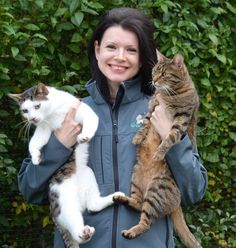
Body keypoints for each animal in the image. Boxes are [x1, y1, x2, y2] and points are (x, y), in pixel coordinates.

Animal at [8, 84, 123, 248]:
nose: (32, 119)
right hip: (65, 203)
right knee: (77, 225)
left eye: (37, 106)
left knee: (92, 205)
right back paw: (84, 233)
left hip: (88, 175)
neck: (52, 114)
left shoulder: (81, 110)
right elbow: (35, 141)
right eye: (25, 110)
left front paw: (84, 136)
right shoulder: (44, 127)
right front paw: (35, 158)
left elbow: (91, 119)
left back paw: (115, 196)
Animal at [114, 50, 201, 248]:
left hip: (156, 190)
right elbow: (145, 123)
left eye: (163, 74)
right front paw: (137, 138)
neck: (170, 95)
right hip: (136, 178)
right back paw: (122, 199)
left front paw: (159, 152)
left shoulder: (181, 120)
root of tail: (177, 202)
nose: (153, 80)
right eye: (154, 71)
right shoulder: (153, 108)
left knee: (146, 222)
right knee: (138, 204)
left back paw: (131, 232)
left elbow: (170, 138)